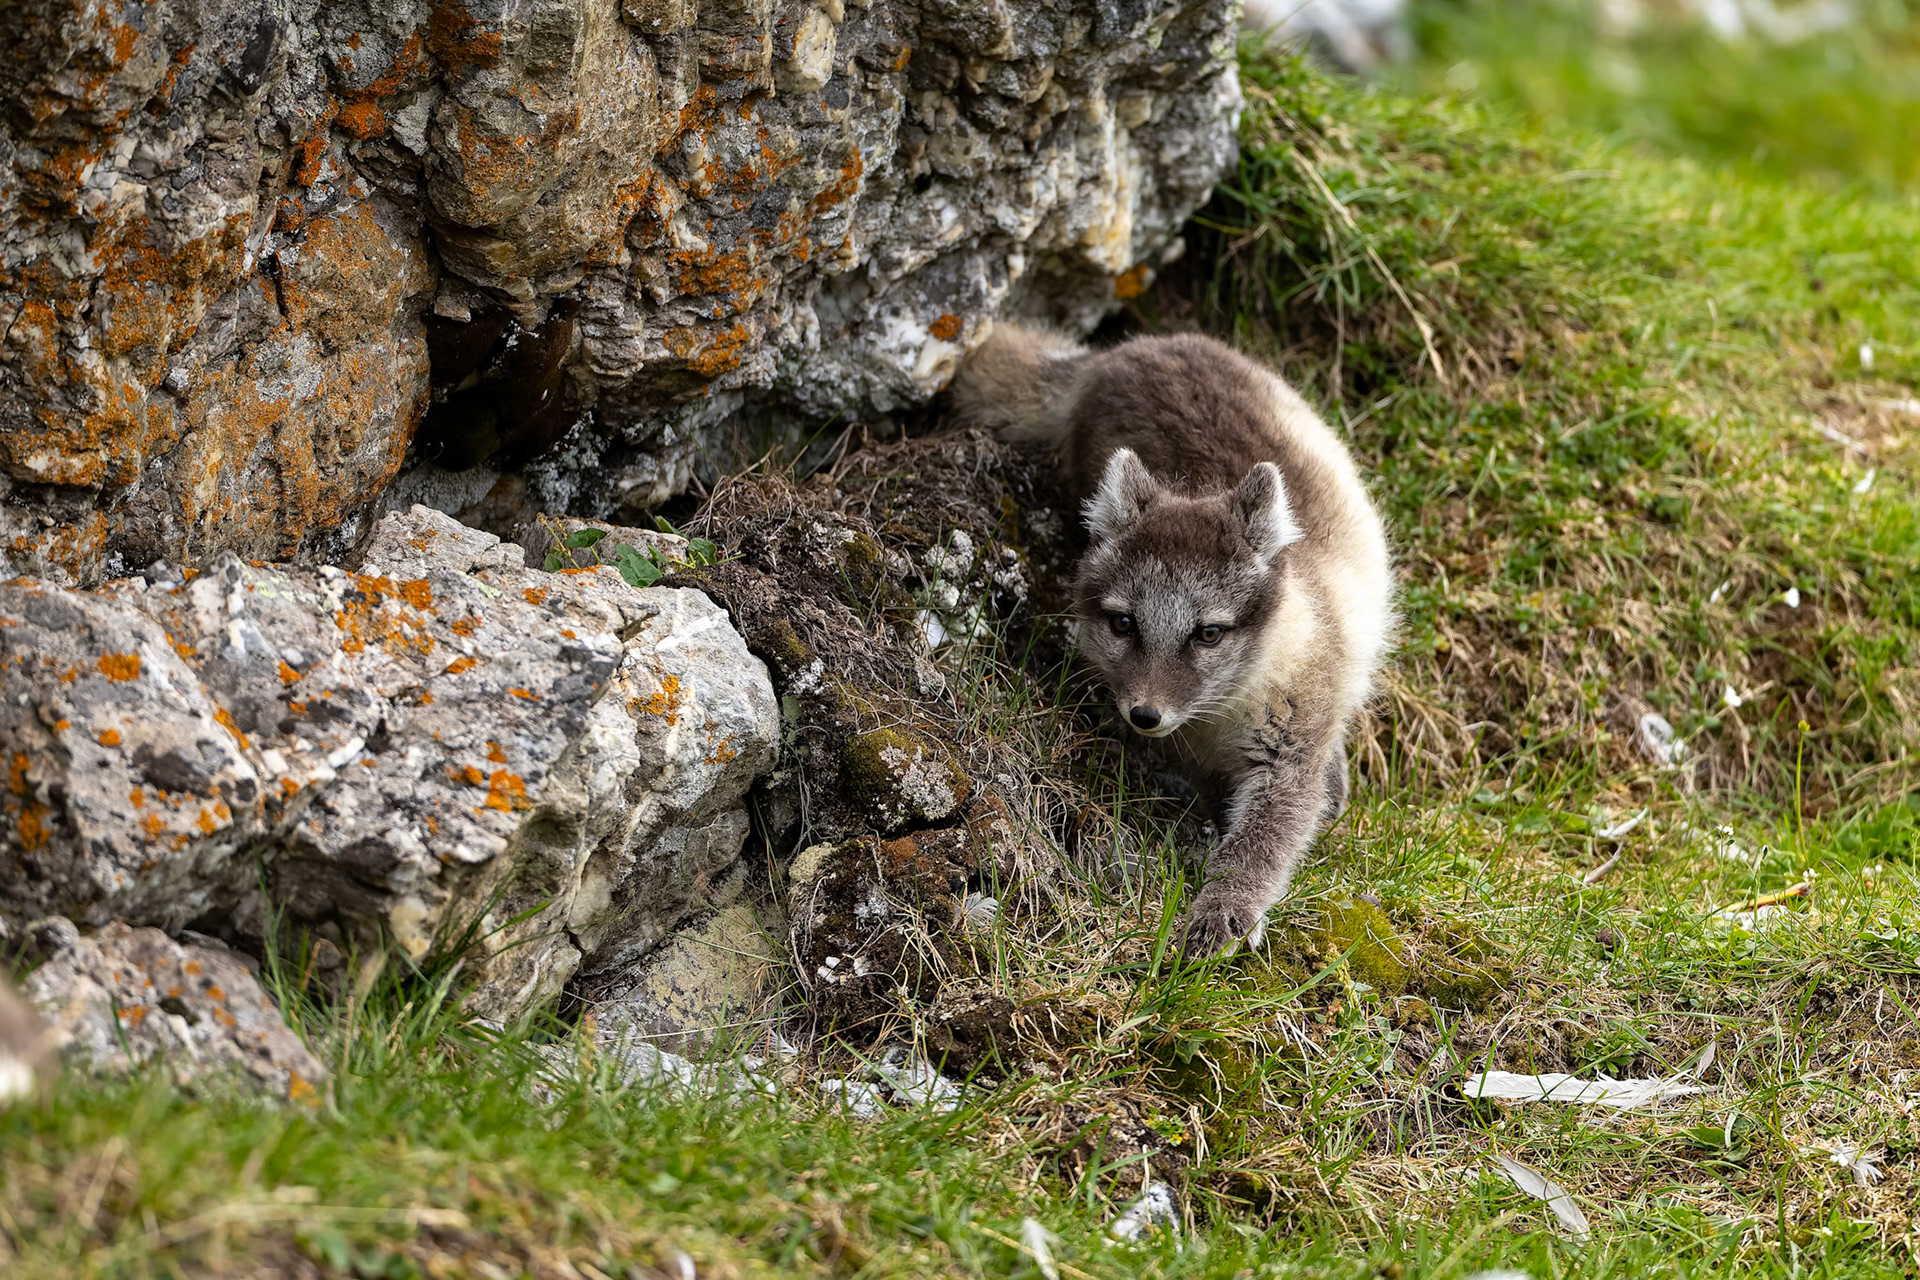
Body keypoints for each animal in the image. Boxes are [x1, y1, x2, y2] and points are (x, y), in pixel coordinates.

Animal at [951, 322, 1395, 957]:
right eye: (1124, 624)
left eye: (1208, 633)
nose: (1144, 715)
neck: (1219, 717)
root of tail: (1112, 355)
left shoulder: (1290, 753)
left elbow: (1260, 847)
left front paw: (1221, 914)